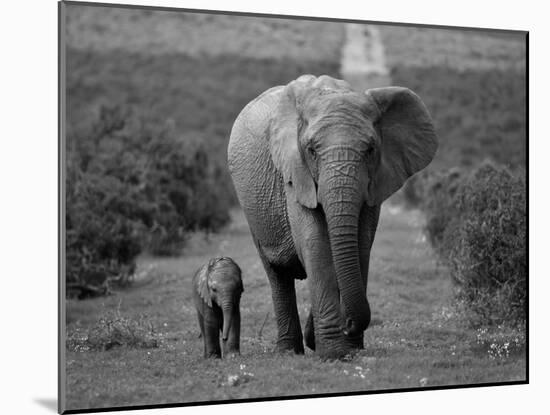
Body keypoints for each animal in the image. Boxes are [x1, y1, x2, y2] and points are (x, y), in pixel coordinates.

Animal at [229, 74, 440, 358]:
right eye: (311, 150)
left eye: (371, 149)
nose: (348, 324)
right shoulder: (295, 175)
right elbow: (316, 244)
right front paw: (333, 354)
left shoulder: (375, 181)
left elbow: (361, 244)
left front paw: (350, 349)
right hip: (252, 209)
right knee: (277, 273)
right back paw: (289, 351)